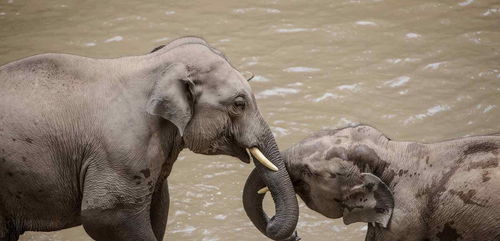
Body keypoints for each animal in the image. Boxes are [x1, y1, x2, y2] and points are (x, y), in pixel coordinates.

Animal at [0, 36, 296, 241]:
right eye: (239, 104)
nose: (292, 233)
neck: (152, 64)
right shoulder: (120, 154)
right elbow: (104, 216)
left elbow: (159, 206)